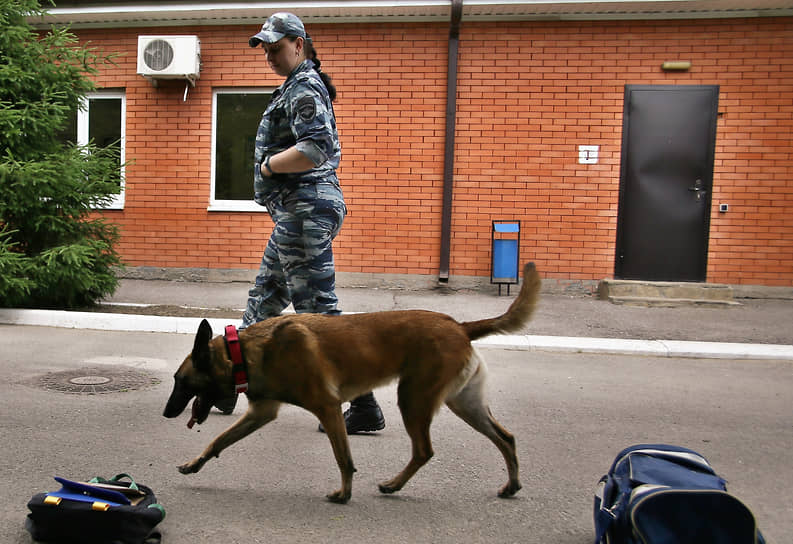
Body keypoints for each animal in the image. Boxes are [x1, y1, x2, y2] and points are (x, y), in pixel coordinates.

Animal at [164, 262, 540, 504]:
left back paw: (393, 484)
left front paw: (344, 494)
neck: (243, 353)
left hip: (413, 399)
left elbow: (343, 457)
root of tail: (459, 326)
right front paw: (195, 464)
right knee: (505, 437)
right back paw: (512, 485)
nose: (167, 413)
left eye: (180, 381)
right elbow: (219, 440)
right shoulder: (261, 413)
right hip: (463, 403)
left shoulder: (328, 409)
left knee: (424, 450)